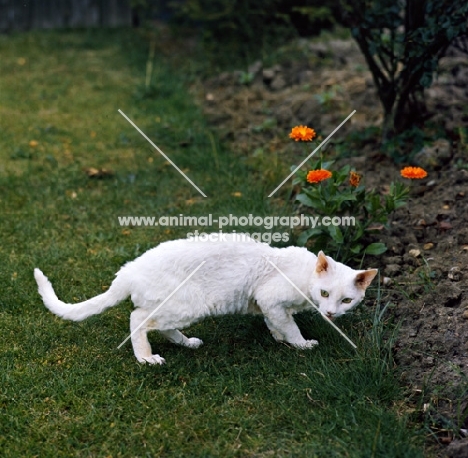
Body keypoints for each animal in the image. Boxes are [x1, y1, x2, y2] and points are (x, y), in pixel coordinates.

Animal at [33, 236, 376, 364]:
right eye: (325, 293)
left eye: (347, 300)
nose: (330, 313)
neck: (305, 274)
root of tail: (129, 269)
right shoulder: (269, 296)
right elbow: (289, 326)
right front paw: (301, 344)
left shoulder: (267, 305)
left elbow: (276, 322)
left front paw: (279, 337)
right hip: (191, 304)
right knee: (138, 318)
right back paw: (146, 358)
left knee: (158, 324)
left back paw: (187, 343)